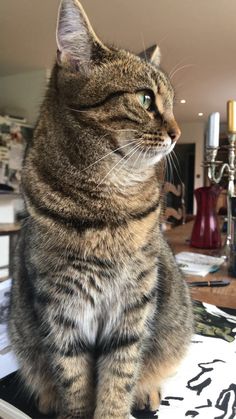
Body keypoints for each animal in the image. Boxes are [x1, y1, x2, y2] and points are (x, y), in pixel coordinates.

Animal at [8, 0, 194, 419]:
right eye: (146, 99)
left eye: (172, 103)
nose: (178, 133)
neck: (105, 201)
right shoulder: (61, 305)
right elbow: (73, 376)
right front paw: (72, 406)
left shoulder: (134, 301)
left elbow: (119, 374)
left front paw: (116, 406)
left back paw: (149, 391)